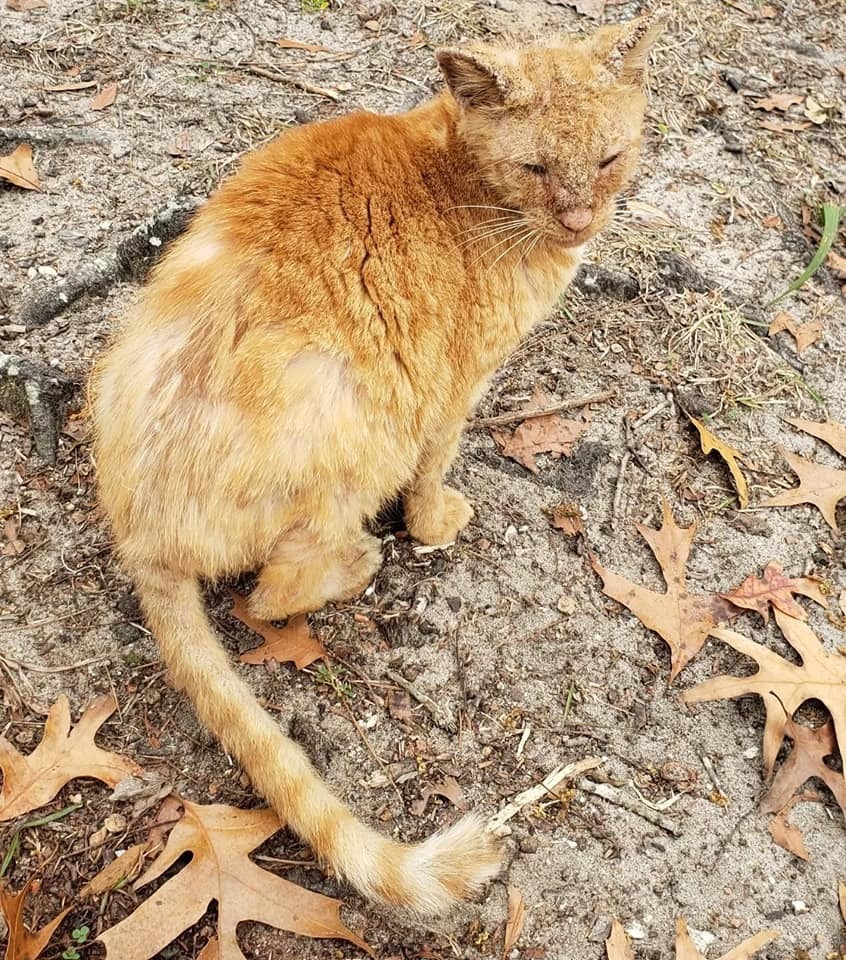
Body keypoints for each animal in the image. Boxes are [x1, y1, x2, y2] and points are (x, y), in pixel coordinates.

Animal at [91, 13, 664, 916]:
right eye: (536, 169)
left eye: (608, 158)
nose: (579, 220)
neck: (463, 177)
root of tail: (139, 536)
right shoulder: (454, 387)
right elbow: (434, 474)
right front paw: (434, 524)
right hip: (357, 420)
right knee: (272, 592)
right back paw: (359, 562)